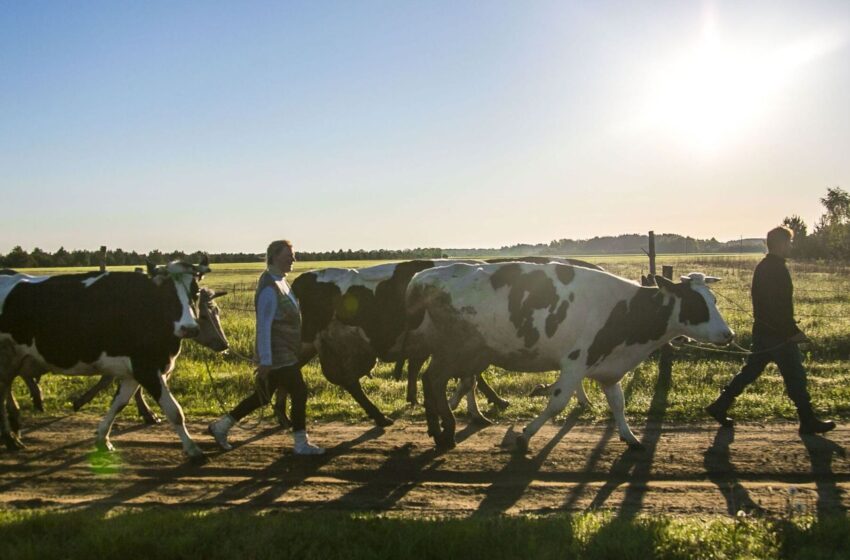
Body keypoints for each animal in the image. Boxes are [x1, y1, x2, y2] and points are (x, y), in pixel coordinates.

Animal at [0, 258, 225, 464]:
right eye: (167, 294)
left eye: (195, 292)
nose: (189, 328)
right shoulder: (146, 368)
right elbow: (174, 410)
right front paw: (194, 450)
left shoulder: (133, 372)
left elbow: (118, 403)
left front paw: (103, 438)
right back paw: (11, 439)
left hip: (13, 362)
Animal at [402, 264, 728, 452]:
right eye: (696, 303)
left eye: (713, 299)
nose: (729, 334)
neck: (625, 310)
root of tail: (423, 276)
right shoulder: (575, 363)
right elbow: (557, 402)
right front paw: (525, 435)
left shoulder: (609, 367)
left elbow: (618, 403)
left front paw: (630, 437)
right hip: (455, 350)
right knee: (434, 380)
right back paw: (446, 432)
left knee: (431, 380)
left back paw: (438, 430)